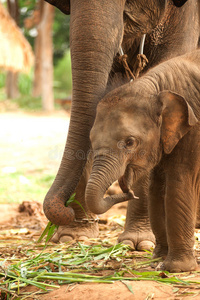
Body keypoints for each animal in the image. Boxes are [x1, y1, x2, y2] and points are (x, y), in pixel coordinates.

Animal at [85, 49, 200, 272]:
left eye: (130, 142)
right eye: (91, 140)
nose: (129, 191)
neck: (156, 87)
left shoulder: (195, 128)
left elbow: (179, 183)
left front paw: (176, 269)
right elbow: (156, 189)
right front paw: (157, 259)